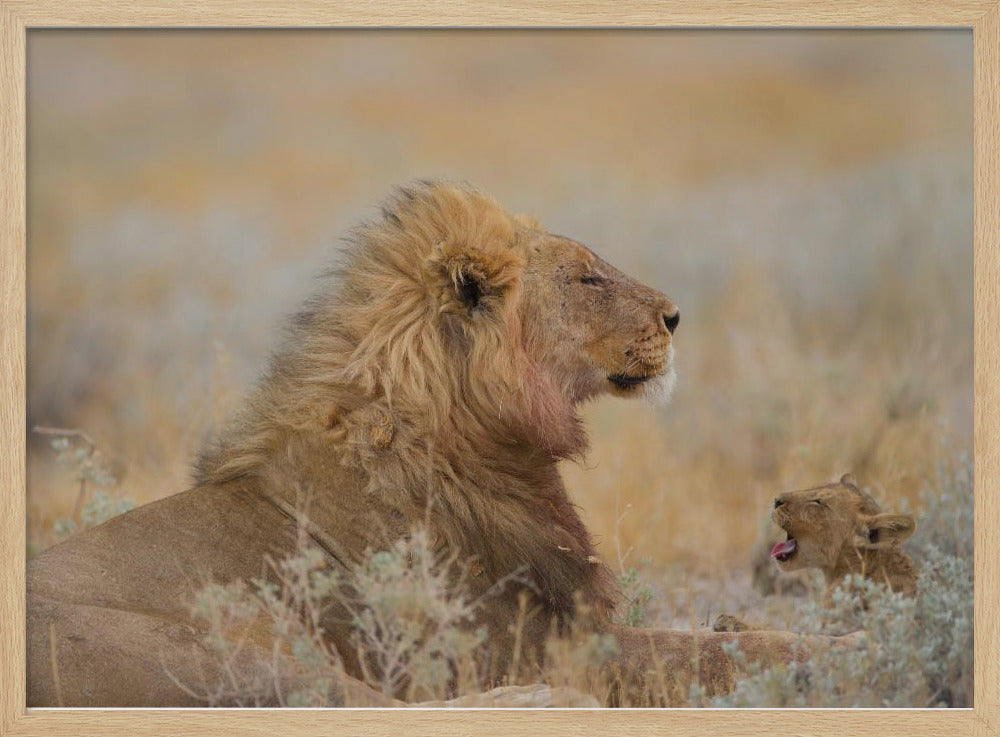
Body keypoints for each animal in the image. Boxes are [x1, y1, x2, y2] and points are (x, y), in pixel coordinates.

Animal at [27, 181, 849, 707]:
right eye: (586, 278)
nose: (676, 316)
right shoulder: (535, 641)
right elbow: (708, 653)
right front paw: (843, 649)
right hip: (244, 655)